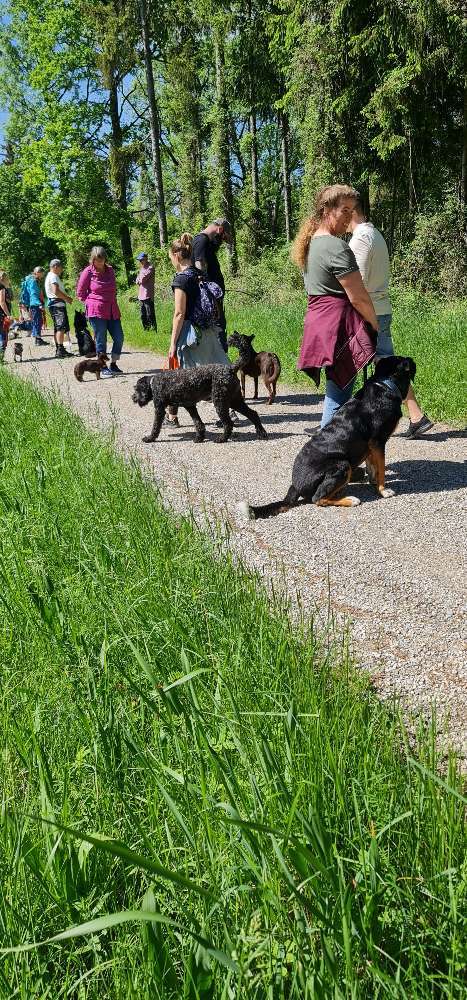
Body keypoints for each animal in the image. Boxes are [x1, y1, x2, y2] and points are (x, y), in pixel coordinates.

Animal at [133, 366, 268, 444]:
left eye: (136, 389)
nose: (133, 398)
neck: (153, 384)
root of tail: (230, 369)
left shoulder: (159, 409)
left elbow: (155, 426)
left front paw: (150, 438)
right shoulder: (190, 406)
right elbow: (198, 423)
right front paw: (199, 438)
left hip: (220, 402)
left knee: (228, 423)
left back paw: (222, 439)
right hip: (235, 401)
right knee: (253, 414)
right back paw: (261, 433)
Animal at [239, 356, 418, 520]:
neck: (386, 384)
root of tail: (295, 486)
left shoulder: (370, 445)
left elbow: (373, 465)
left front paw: (373, 482)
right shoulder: (378, 441)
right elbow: (381, 468)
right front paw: (383, 490)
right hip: (342, 465)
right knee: (318, 499)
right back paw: (350, 500)